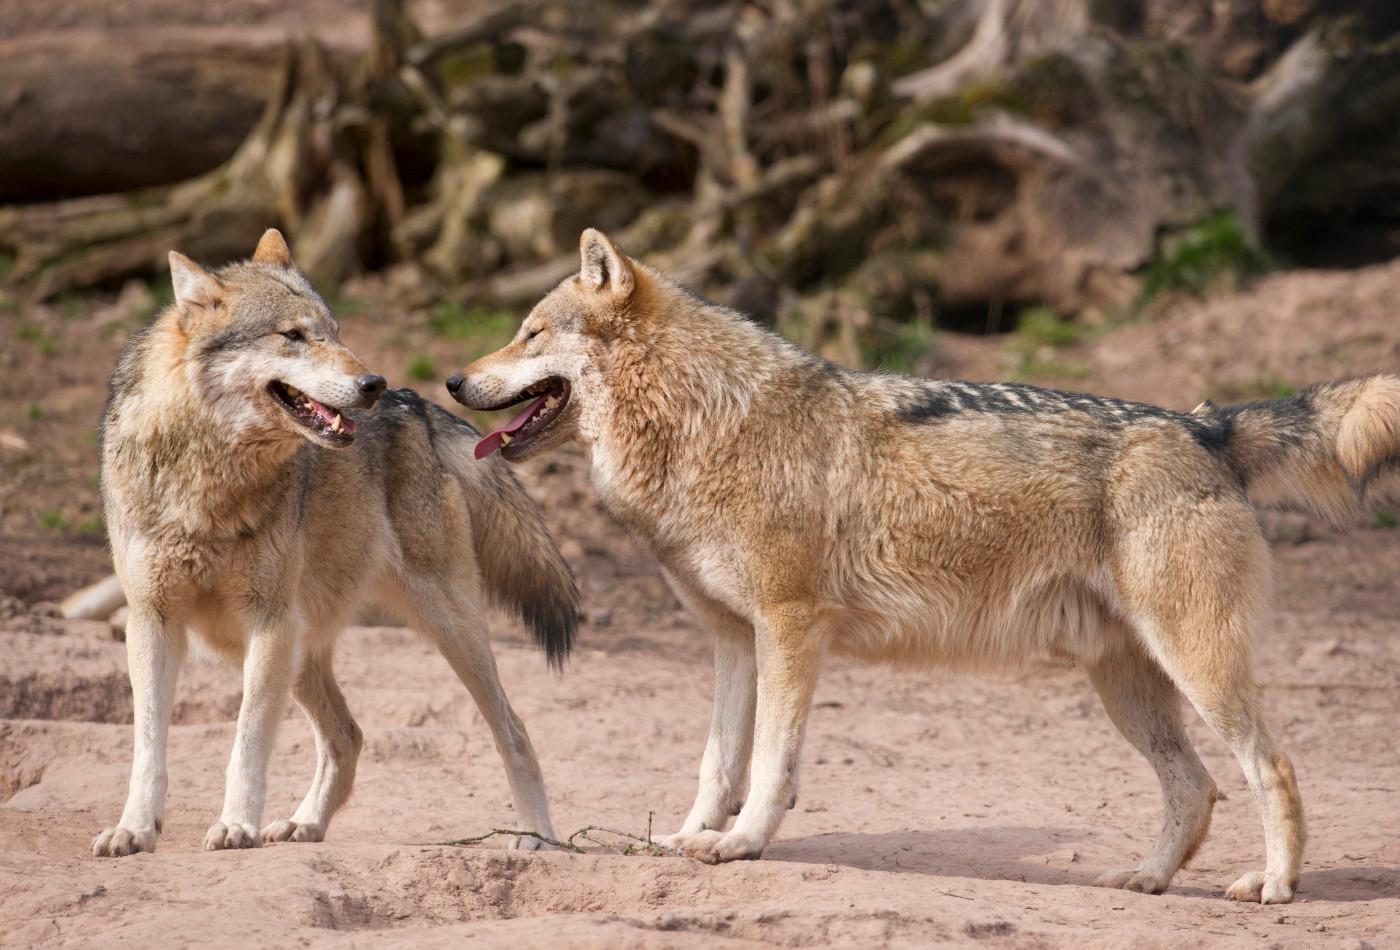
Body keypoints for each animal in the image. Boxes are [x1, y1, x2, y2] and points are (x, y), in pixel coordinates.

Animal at [93, 232, 574, 861]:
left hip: (446, 628)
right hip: (303, 652)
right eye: (293, 336)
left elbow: (246, 744)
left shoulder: (267, 623)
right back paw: (305, 824)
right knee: (348, 736)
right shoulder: (151, 620)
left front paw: (236, 826)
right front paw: (134, 828)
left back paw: (537, 837)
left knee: (513, 732)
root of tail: (418, 405)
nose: (371, 385)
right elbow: (148, 747)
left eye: (336, 331)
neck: (208, 484)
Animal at [445, 226, 1400, 901]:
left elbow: (769, 765)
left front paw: (744, 844)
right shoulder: (732, 642)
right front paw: (691, 838)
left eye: (529, 333)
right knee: (1196, 789)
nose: (452, 381)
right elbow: (717, 762)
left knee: (1270, 769)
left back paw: (1274, 886)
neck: (707, 420)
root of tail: (1207, 424)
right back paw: (1149, 879)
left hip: (1195, 667)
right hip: (1127, 686)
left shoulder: (792, 629)